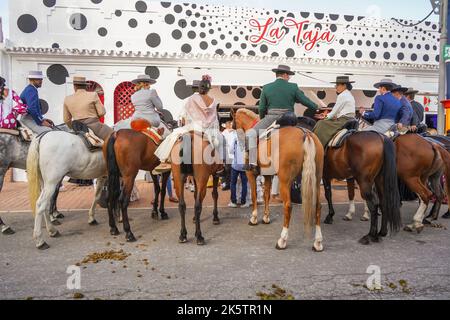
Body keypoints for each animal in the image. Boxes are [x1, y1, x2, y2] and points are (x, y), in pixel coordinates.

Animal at [232, 109, 324, 251]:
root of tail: (305, 134)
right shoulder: (267, 176)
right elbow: (266, 196)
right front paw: (266, 217)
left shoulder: (250, 174)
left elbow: (254, 196)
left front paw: (254, 218)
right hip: (316, 180)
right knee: (318, 206)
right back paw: (318, 242)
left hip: (285, 181)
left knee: (288, 206)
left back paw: (282, 240)